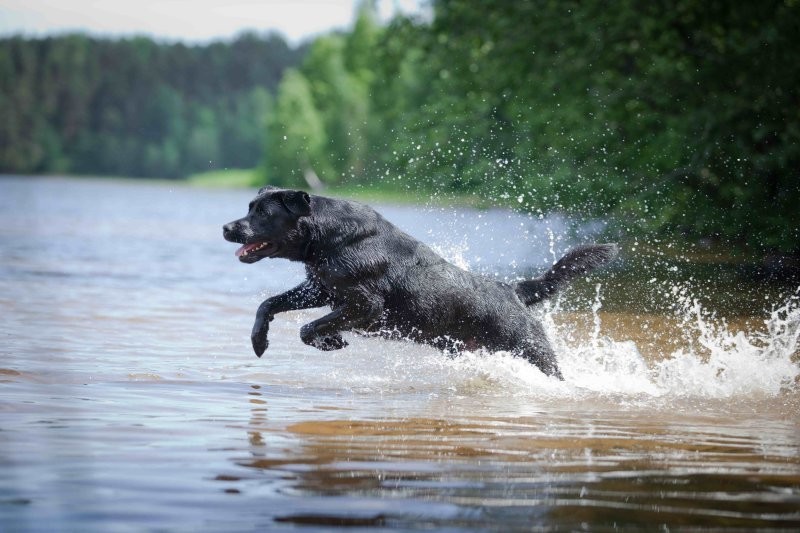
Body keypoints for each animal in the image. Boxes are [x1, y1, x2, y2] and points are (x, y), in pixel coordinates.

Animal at [225, 187, 620, 378]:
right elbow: (268, 304)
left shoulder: (366, 305)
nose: (228, 227)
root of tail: (514, 291)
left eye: (263, 213)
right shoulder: (321, 288)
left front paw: (331, 340)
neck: (329, 237)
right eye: (248, 207)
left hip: (533, 349)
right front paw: (258, 340)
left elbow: (308, 327)